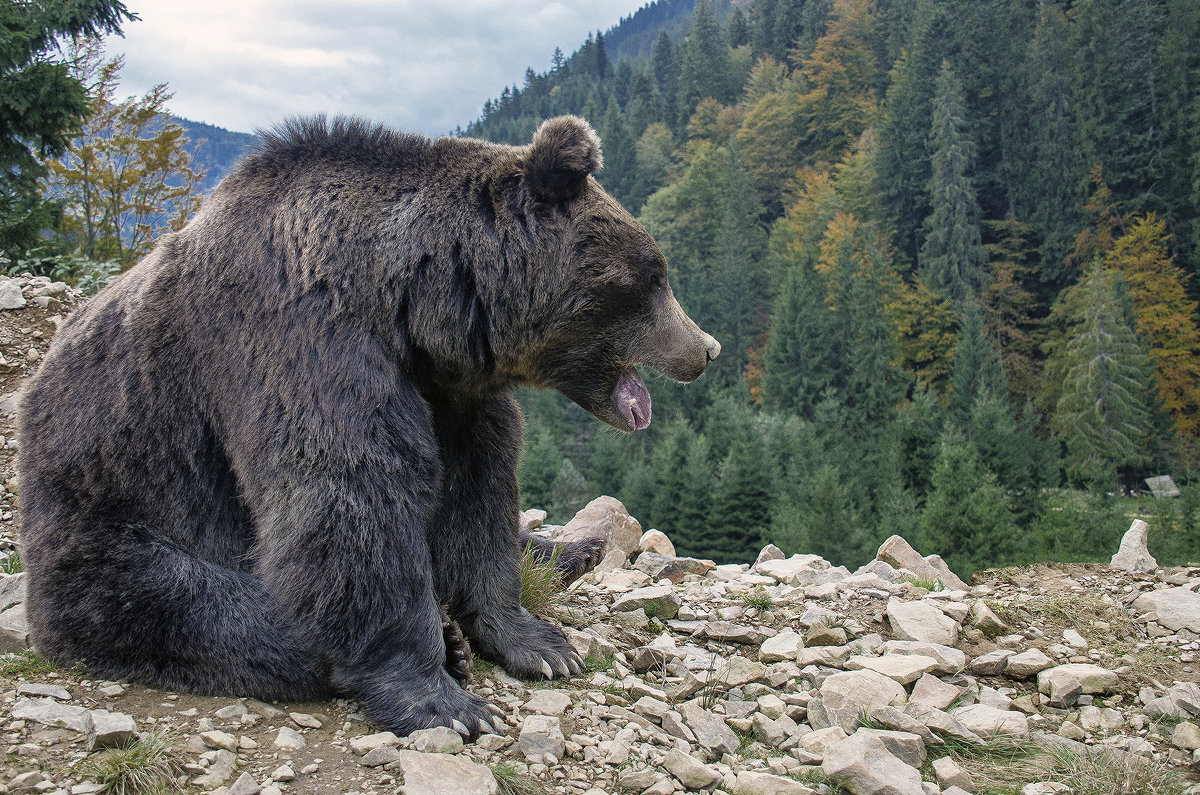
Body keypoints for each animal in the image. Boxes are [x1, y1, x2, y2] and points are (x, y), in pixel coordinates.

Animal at [14, 117, 715, 739]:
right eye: (653, 277)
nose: (704, 349)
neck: (405, 301)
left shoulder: (453, 394)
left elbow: (478, 493)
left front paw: (536, 641)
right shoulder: (303, 342)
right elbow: (351, 500)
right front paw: (442, 699)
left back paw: (569, 551)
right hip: (113, 510)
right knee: (198, 606)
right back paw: (431, 644)